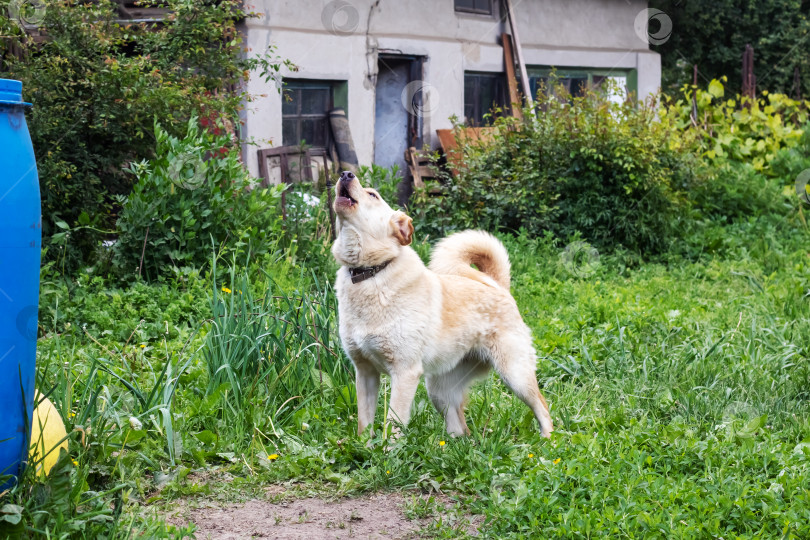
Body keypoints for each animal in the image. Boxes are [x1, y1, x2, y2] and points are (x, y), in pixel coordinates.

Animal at [332, 173, 552, 438]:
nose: (346, 174)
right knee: (460, 427)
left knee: (543, 407)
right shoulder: (365, 373)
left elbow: (393, 425)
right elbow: (364, 425)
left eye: (373, 194)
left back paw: (548, 440)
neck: (370, 273)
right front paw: (365, 447)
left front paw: (388, 449)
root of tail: (498, 286)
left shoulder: (404, 373)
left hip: (515, 375)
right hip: (439, 390)